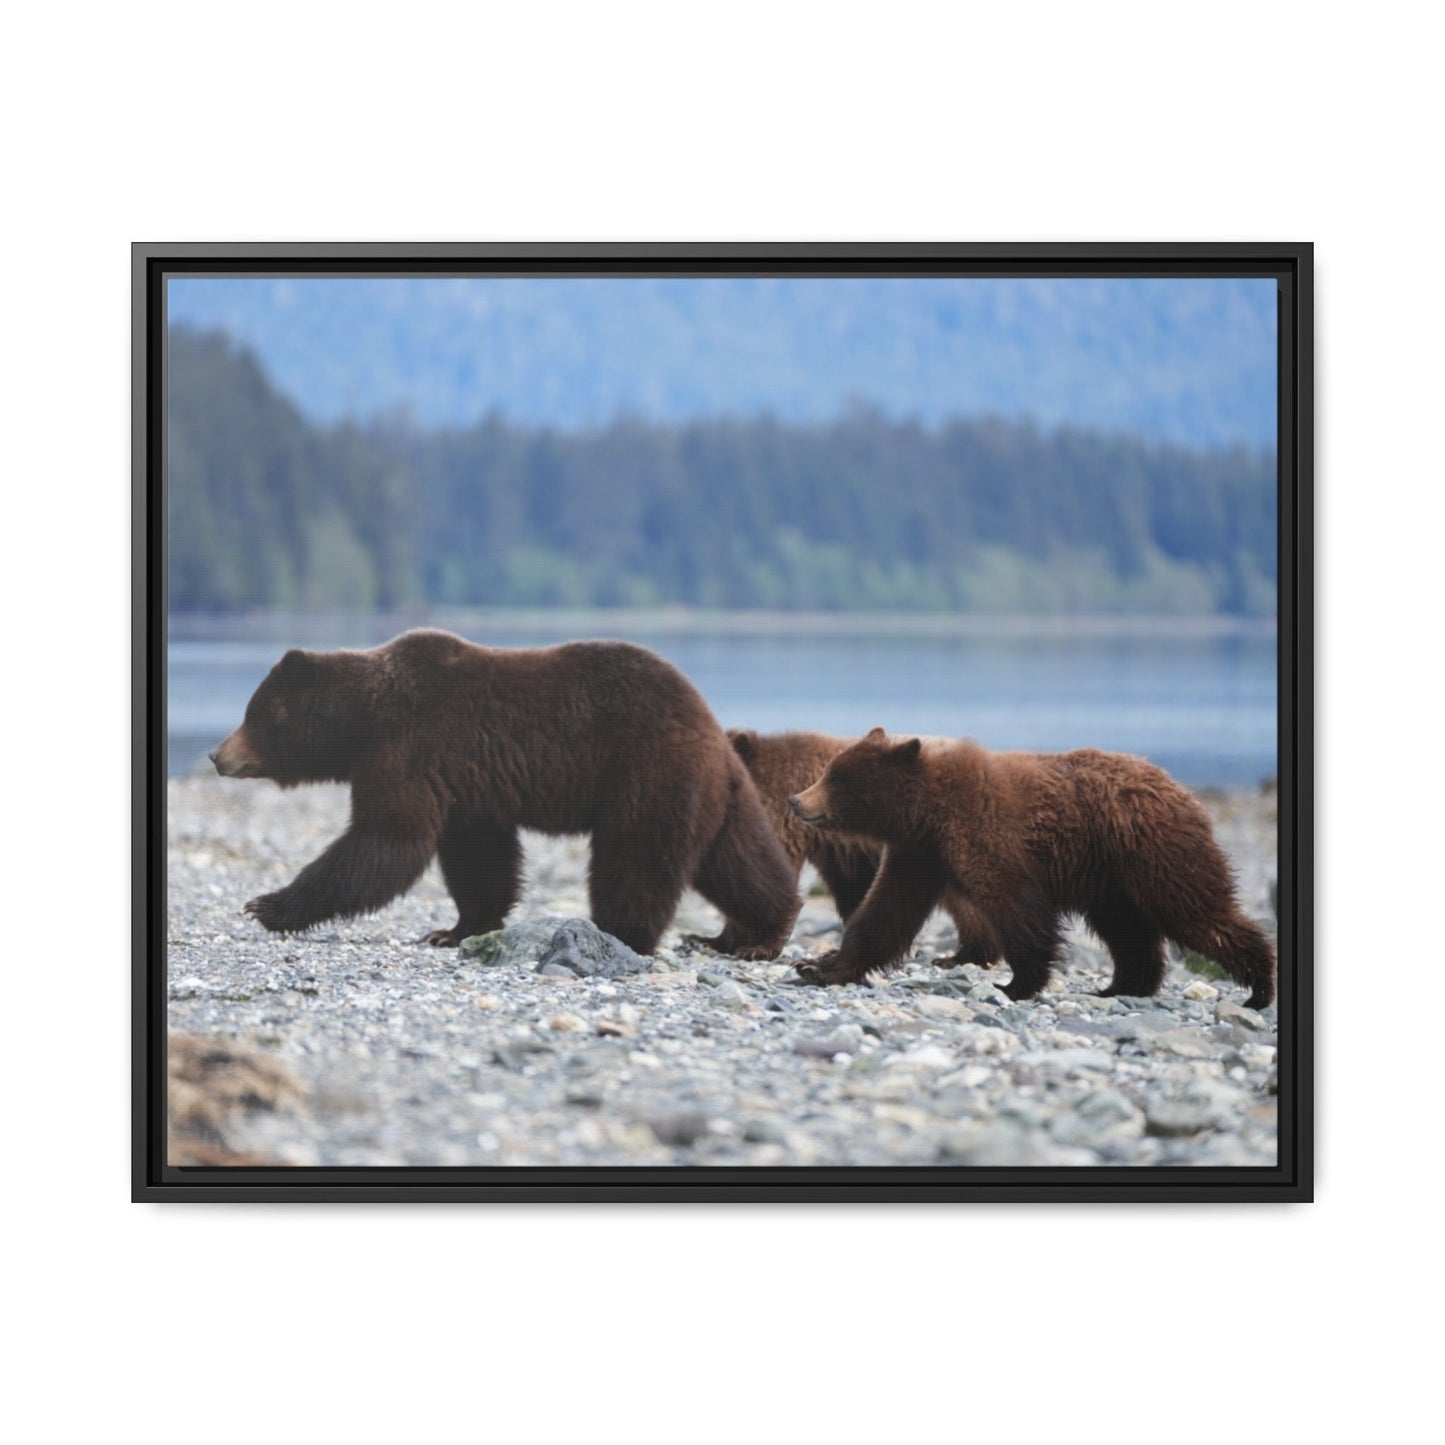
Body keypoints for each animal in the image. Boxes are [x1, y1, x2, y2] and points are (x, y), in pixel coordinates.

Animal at [210, 629, 801, 959]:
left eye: (251, 713)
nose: (217, 755)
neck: (363, 721)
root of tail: (711, 727)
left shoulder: (411, 748)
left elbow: (387, 840)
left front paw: (268, 904)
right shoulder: (468, 785)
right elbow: (478, 858)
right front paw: (454, 930)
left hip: (647, 775)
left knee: (635, 861)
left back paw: (618, 933)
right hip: (717, 795)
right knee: (740, 861)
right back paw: (759, 933)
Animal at [787, 728, 1276, 1009]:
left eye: (837, 778)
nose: (796, 800)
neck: (929, 812)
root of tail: (1182, 789)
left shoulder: (989, 837)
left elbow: (1017, 910)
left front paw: (1014, 985)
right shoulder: (919, 853)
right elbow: (884, 912)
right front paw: (818, 966)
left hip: (1155, 853)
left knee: (1197, 912)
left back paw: (1259, 987)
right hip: (1112, 881)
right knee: (1128, 930)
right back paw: (1121, 986)